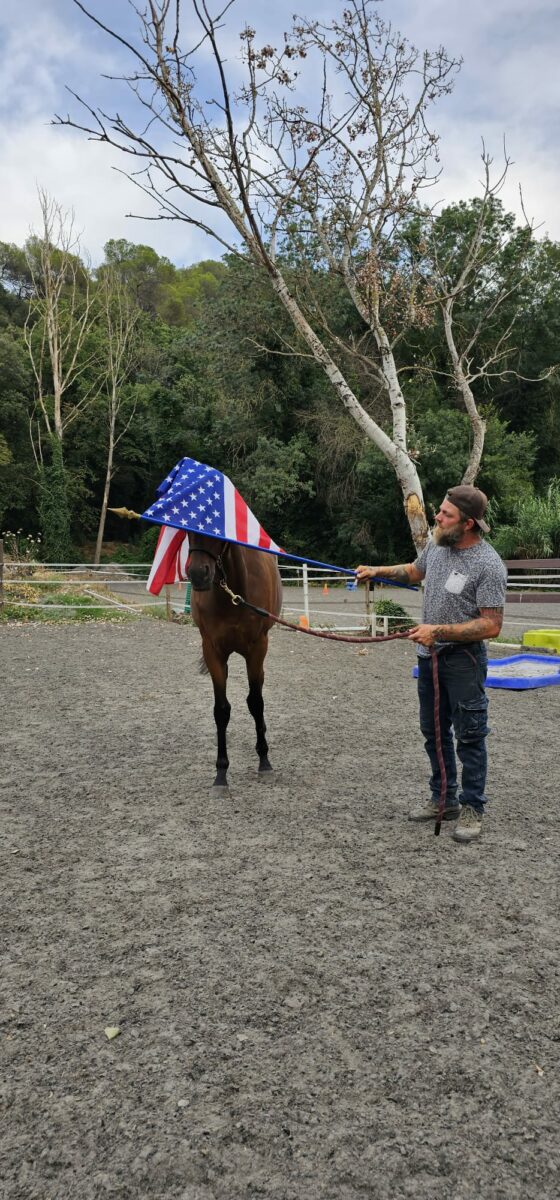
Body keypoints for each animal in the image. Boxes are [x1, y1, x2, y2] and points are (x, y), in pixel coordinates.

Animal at [187, 532, 282, 787]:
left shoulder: (258, 647)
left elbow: (256, 702)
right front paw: (221, 773)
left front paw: (265, 761)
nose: (198, 574)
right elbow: (221, 710)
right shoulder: (212, 651)